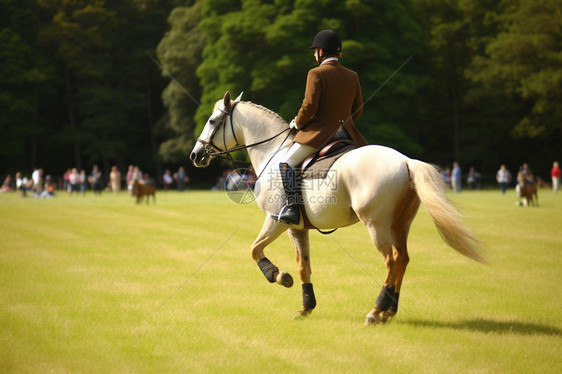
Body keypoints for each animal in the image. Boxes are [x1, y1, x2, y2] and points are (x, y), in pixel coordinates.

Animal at [187, 91, 482, 324]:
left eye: (212, 121)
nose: (195, 155)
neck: (273, 150)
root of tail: (406, 161)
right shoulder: (298, 228)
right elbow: (303, 266)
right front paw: (305, 308)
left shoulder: (277, 219)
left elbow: (254, 249)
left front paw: (279, 276)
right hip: (400, 224)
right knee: (403, 259)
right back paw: (389, 311)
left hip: (376, 224)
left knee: (391, 260)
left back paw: (376, 311)